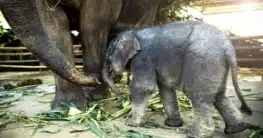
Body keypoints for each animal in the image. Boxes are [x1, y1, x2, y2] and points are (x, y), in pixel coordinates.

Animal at [102, 20, 254, 138]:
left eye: (108, 57)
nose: (121, 92)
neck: (135, 33)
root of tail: (228, 47)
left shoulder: (143, 59)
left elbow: (143, 87)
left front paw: (132, 124)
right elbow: (165, 89)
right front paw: (171, 124)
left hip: (203, 60)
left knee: (198, 95)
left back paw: (196, 134)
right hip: (217, 65)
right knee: (218, 95)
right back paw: (237, 129)